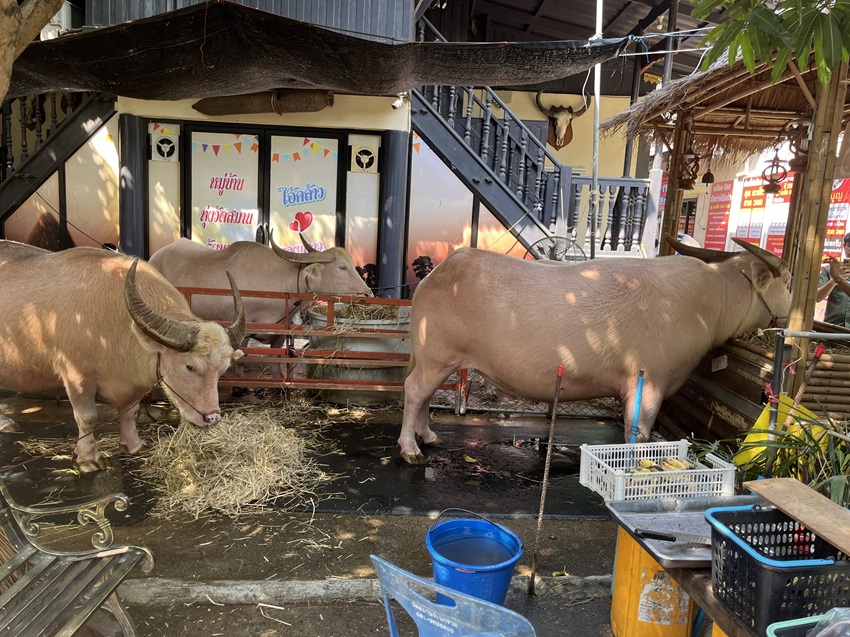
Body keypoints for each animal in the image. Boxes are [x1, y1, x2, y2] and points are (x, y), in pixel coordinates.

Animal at [0, 241, 245, 470]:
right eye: (190, 366)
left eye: (223, 370)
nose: (212, 418)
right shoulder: (77, 377)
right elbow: (87, 417)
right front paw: (88, 458)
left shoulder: (132, 382)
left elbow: (130, 412)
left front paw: (133, 446)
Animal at [398, 236, 788, 464]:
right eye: (787, 280)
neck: (705, 302)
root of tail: (435, 275)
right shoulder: (649, 383)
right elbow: (637, 436)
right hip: (438, 357)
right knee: (414, 391)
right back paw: (410, 449)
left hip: (440, 360)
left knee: (425, 395)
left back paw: (429, 437)